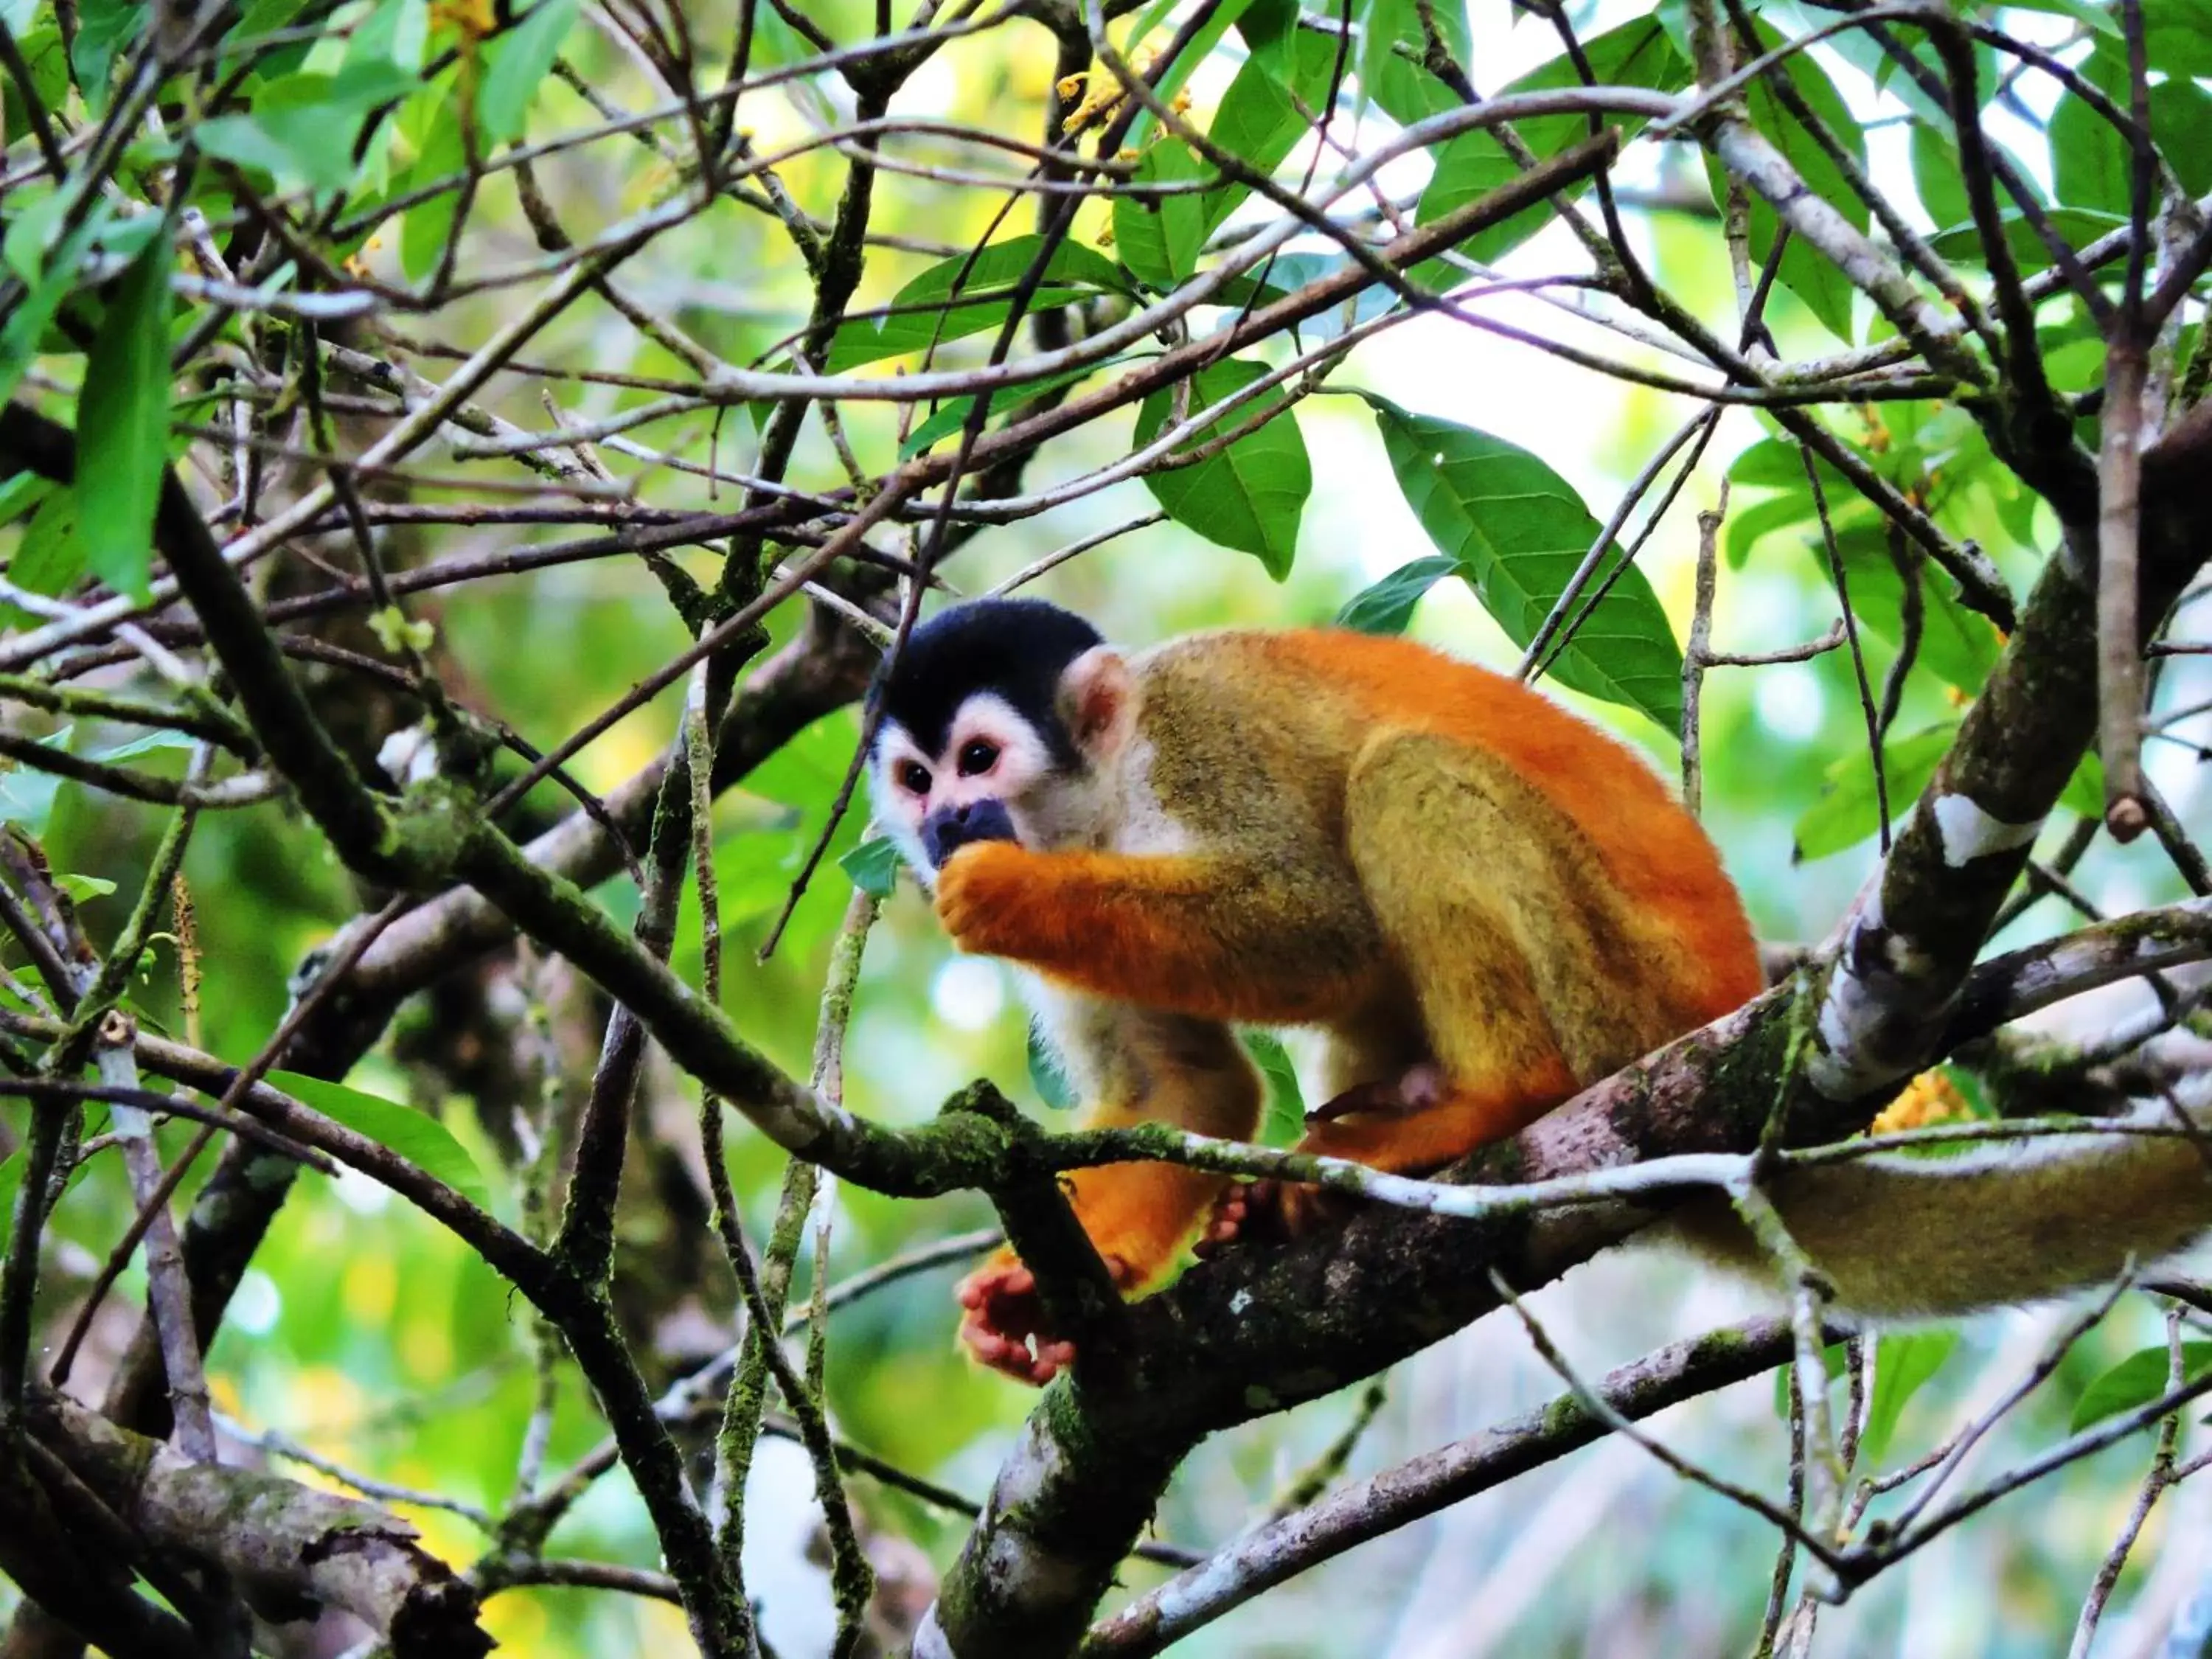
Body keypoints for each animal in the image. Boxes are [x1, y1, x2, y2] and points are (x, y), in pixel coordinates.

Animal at [863, 606, 1761, 1380]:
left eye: (978, 760)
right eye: (916, 778)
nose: (944, 823)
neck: (1108, 806)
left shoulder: (1206, 740)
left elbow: (1332, 934)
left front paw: (1009, 894)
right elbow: (1189, 1087)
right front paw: (1034, 1293)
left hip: (1625, 995)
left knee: (1405, 772)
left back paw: (1494, 1098)